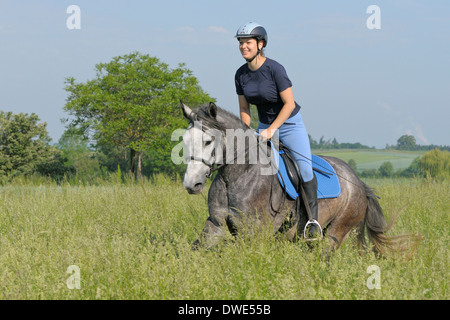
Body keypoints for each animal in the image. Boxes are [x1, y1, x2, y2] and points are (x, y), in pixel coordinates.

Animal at [179, 101, 414, 256]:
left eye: (208, 141)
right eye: (185, 140)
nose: (192, 184)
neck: (237, 176)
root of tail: (358, 183)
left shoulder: (253, 233)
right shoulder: (216, 223)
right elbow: (197, 249)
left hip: (338, 229)